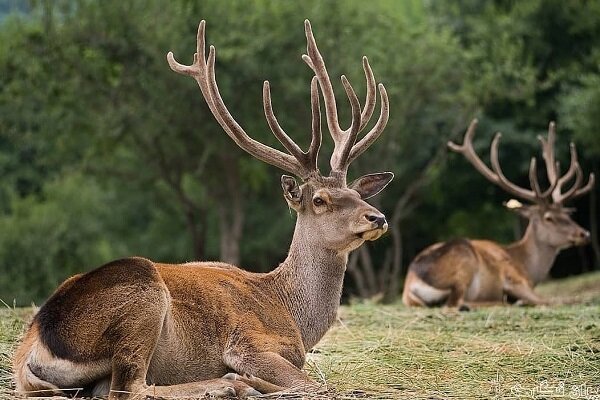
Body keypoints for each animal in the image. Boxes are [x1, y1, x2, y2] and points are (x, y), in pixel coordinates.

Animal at [14, 19, 394, 400]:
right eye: (319, 200)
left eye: (357, 193)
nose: (377, 217)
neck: (292, 314)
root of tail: (30, 350)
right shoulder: (249, 343)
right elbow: (317, 386)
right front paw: (247, 379)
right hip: (142, 296)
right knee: (129, 388)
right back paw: (232, 384)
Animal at [404, 119, 596, 310]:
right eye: (549, 218)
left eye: (567, 214)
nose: (584, 234)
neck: (526, 267)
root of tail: (410, 284)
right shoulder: (513, 278)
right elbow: (552, 299)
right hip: (463, 261)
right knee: (455, 303)